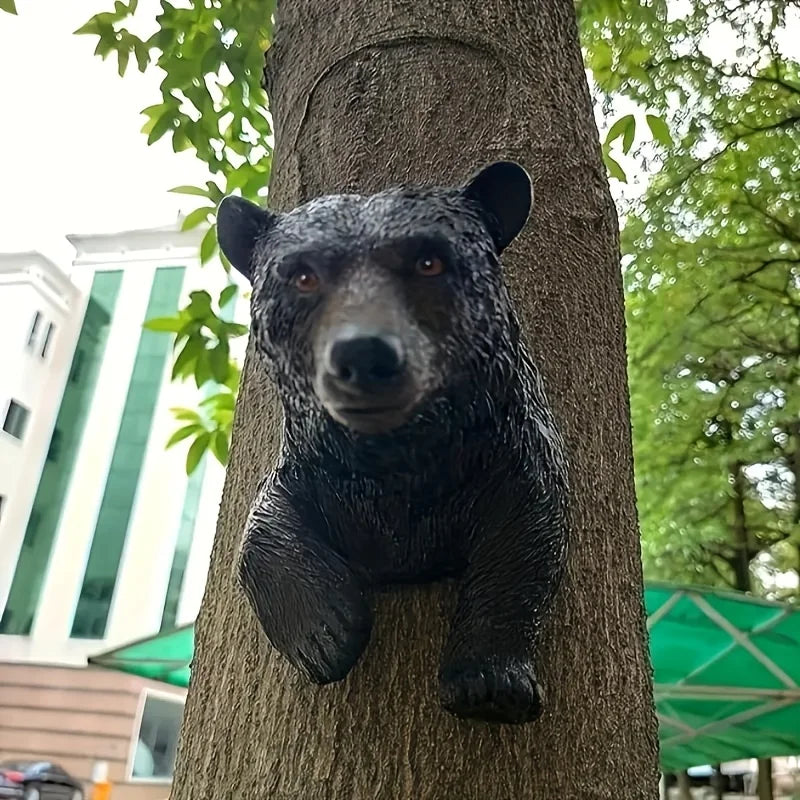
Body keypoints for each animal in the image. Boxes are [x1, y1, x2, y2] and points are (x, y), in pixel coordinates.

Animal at [216, 161, 568, 725]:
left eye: (429, 261)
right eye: (302, 275)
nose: (364, 353)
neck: (399, 467)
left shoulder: (511, 458)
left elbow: (524, 545)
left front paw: (490, 684)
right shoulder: (310, 470)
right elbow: (259, 528)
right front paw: (327, 632)